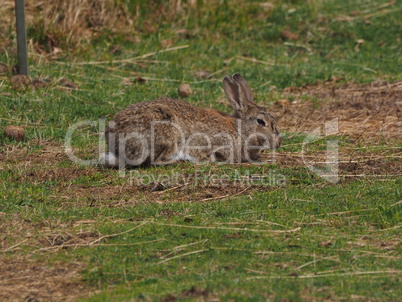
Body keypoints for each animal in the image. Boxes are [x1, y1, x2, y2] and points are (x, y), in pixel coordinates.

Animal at [100, 73, 282, 168]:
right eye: (261, 122)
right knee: (155, 161)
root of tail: (113, 140)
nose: (278, 143)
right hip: (167, 135)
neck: (239, 129)